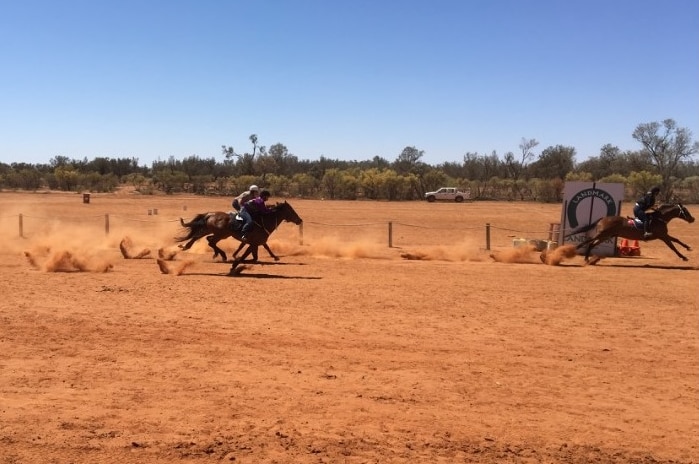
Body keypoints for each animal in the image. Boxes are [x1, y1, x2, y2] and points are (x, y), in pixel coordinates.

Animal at [174, 200, 302, 264]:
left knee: (200, 237)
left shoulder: (256, 242)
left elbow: (263, 249)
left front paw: (275, 257)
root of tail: (210, 214)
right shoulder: (254, 243)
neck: (263, 220)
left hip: (210, 230)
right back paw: (222, 255)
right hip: (221, 234)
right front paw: (239, 258)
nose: (300, 220)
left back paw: (186, 246)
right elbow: (252, 253)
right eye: (290, 210)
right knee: (210, 241)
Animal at [564, 202, 696, 262]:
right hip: (603, 234)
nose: (693, 219)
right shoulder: (662, 236)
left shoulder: (664, 235)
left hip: (606, 236)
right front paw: (683, 257)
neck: (659, 218)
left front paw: (688, 248)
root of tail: (603, 218)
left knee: (592, 243)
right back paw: (575, 250)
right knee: (589, 241)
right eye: (685, 210)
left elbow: (677, 240)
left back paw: (587, 258)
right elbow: (673, 247)